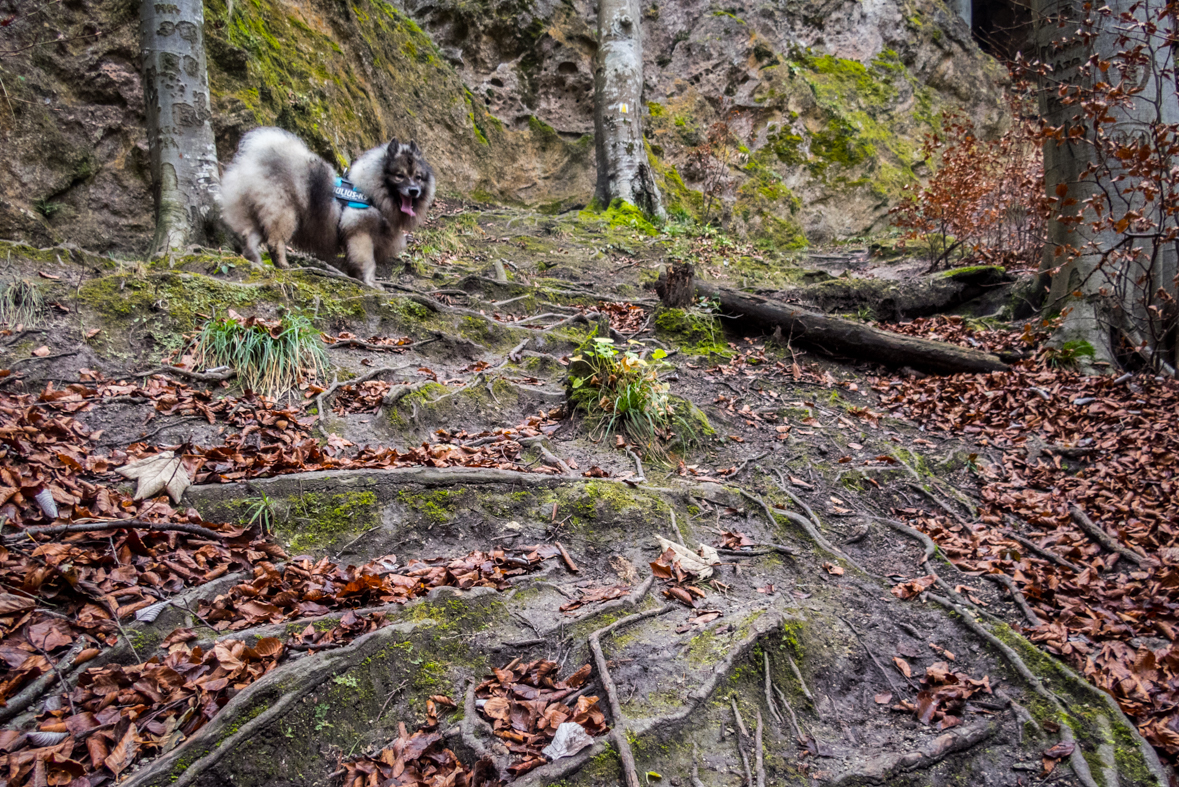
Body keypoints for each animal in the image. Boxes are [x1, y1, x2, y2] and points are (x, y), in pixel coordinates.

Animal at [221, 127, 438, 287]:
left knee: (250, 236)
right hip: (285, 214)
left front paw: (356, 277)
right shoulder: (360, 233)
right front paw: (370, 283)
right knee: (275, 242)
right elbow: (368, 262)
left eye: (418, 177)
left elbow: (355, 261)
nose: (413, 191)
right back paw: (283, 266)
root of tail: (255, 160)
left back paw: (257, 262)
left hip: (262, 213)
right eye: (399, 176)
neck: (372, 191)